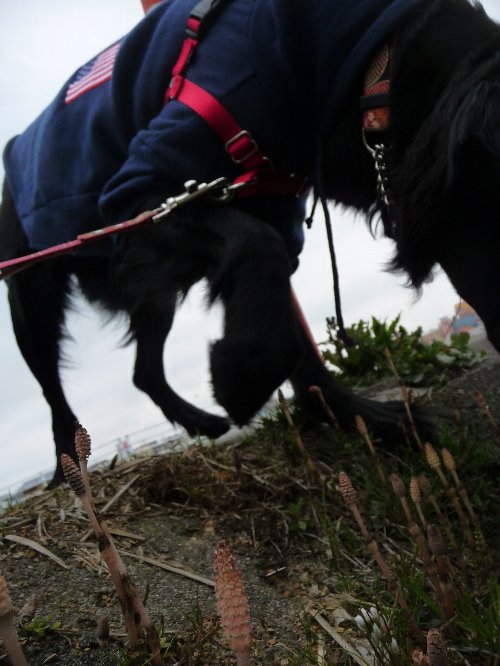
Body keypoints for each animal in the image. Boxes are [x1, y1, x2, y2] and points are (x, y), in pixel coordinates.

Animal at [1, 0, 499, 487]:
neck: (372, 66)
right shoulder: (140, 194)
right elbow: (260, 248)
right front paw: (243, 374)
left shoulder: (273, 205)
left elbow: (292, 329)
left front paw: (366, 420)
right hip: (34, 299)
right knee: (54, 390)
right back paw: (69, 466)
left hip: (155, 288)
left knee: (143, 371)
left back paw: (199, 422)